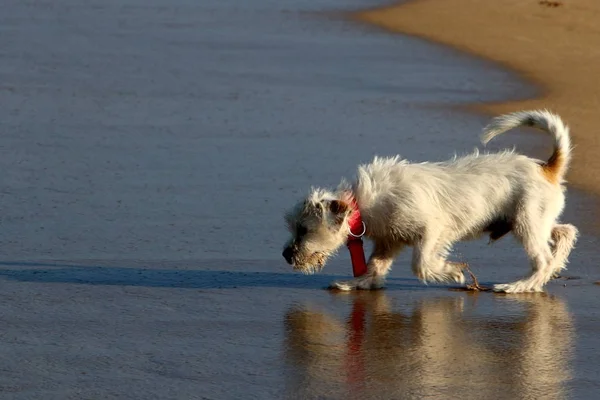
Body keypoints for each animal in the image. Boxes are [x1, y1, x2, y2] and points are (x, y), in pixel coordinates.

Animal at [284, 110, 580, 294]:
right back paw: (555, 266)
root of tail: (546, 167)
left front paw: (452, 272)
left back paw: (519, 285)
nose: (286, 255)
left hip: (527, 224)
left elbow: (421, 262)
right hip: (532, 221)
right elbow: (375, 265)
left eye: (303, 230)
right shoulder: (388, 242)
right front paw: (360, 283)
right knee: (565, 232)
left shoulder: (433, 230)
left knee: (542, 259)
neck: (363, 204)